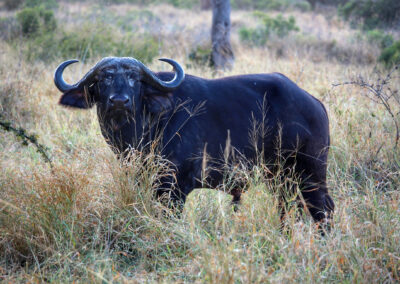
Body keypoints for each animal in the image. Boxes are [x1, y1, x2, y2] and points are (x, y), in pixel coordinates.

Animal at [54, 57, 334, 225]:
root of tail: (314, 103)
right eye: (104, 79)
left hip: (311, 172)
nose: (119, 101)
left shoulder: (174, 188)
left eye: (134, 79)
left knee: (323, 207)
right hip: (280, 177)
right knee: (288, 206)